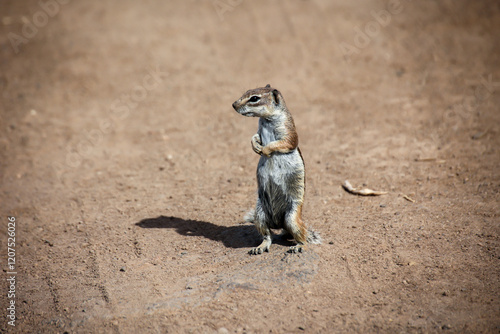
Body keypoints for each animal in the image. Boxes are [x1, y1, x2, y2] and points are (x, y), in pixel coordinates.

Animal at [233, 85, 322, 254]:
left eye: (254, 98)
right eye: (247, 91)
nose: (234, 105)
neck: (266, 119)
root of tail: (280, 225)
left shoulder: (288, 131)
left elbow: (282, 142)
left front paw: (265, 150)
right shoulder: (259, 130)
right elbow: (255, 136)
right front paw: (255, 146)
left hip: (292, 217)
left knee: (302, 235)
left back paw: (299, 246)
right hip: (260, 215)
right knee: (268, 236)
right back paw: (260, 247)